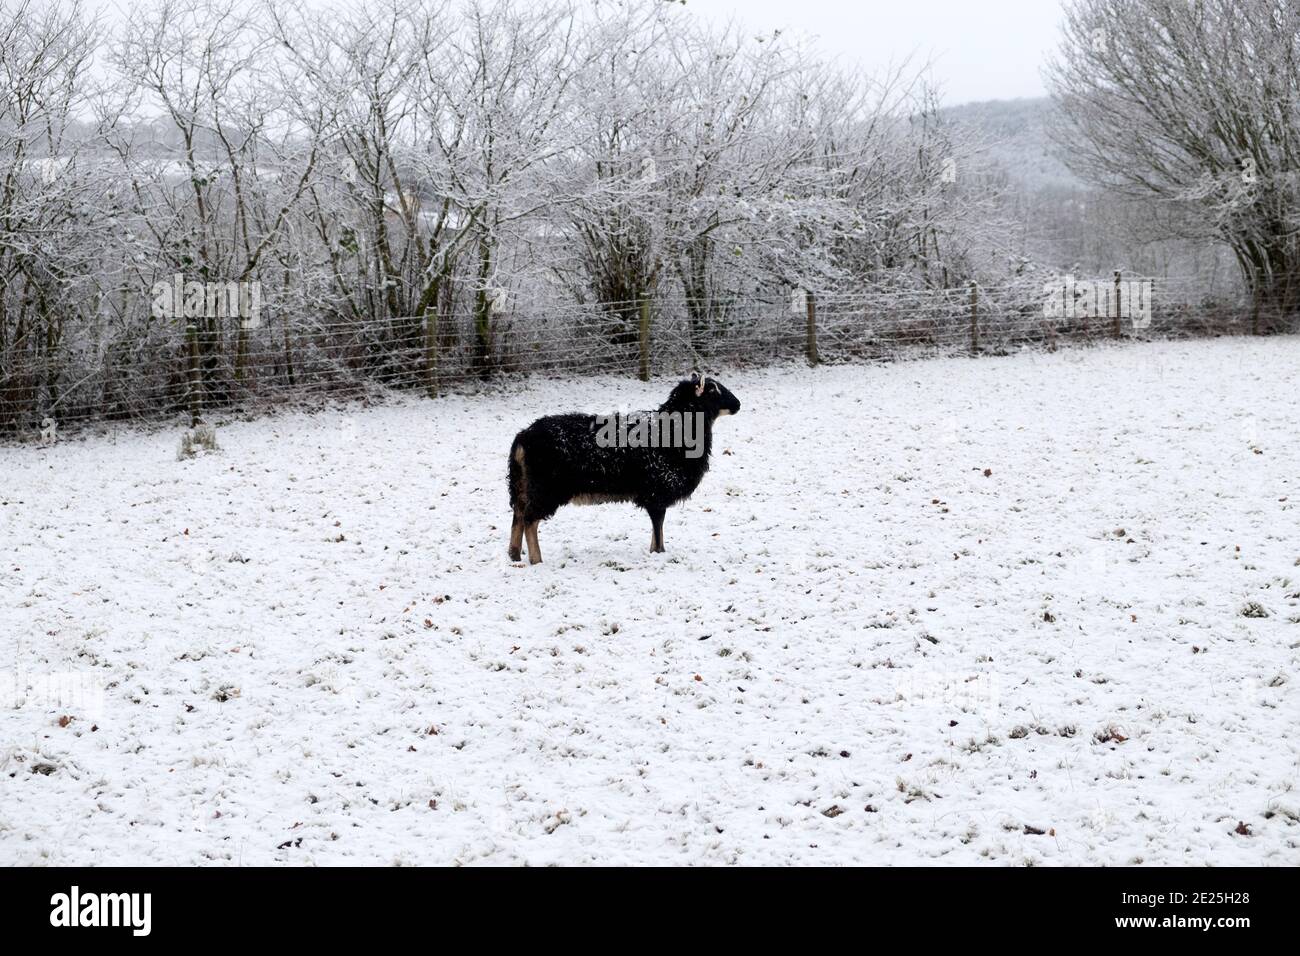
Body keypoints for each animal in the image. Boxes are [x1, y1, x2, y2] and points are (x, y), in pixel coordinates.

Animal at [504, 374, 738, 564]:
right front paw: (659, 552)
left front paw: (654, 551)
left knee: (518, 514)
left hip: (525, 483)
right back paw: (536, 559)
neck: (675, 430)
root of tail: (523, 436)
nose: (738, 404)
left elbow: (657, 527)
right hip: (547, 488)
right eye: (712, 390)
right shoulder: (656, 492)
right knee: (529, 519)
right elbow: (658, 525)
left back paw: (514, 555)